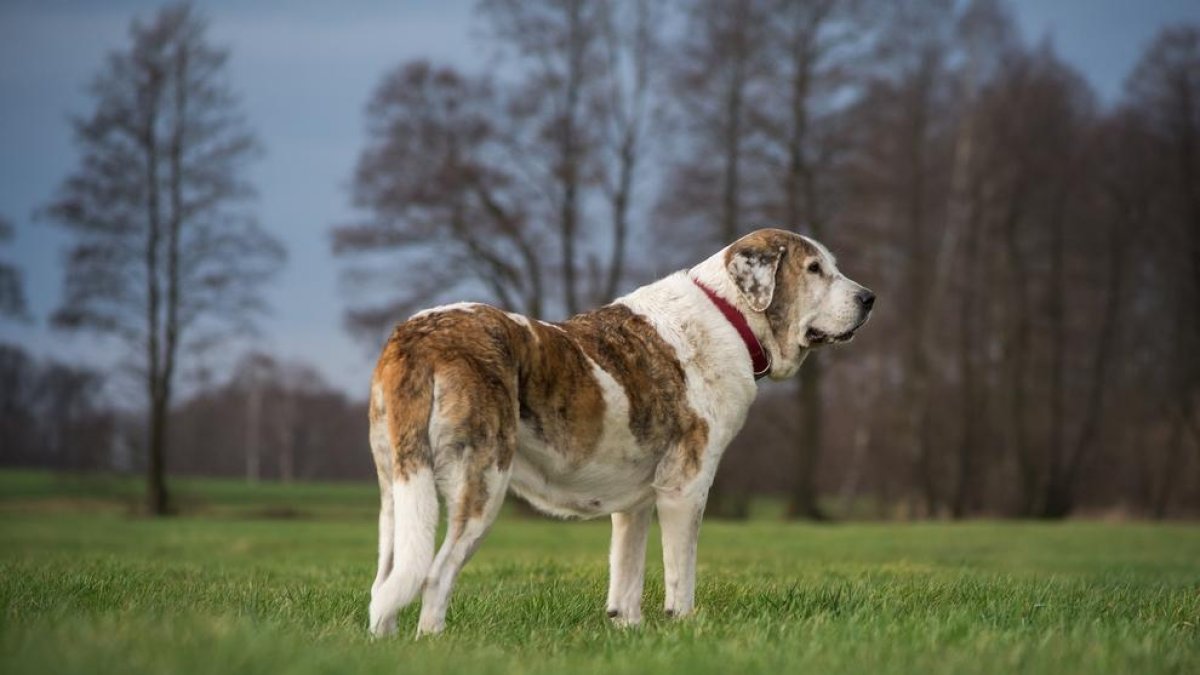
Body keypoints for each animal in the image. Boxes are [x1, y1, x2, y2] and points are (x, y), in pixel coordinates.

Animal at [362, 228, 873, 634]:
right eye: (814, 269)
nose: (868, 297)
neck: (729, 315)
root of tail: (419, 335)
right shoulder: (685, 489)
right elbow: (681, 573)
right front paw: (683, 626)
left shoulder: (636, 505)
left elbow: (626, 577)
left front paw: (629, 630)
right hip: (483, 484)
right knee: (434, 576)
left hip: (396, 491)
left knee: (384, 585)